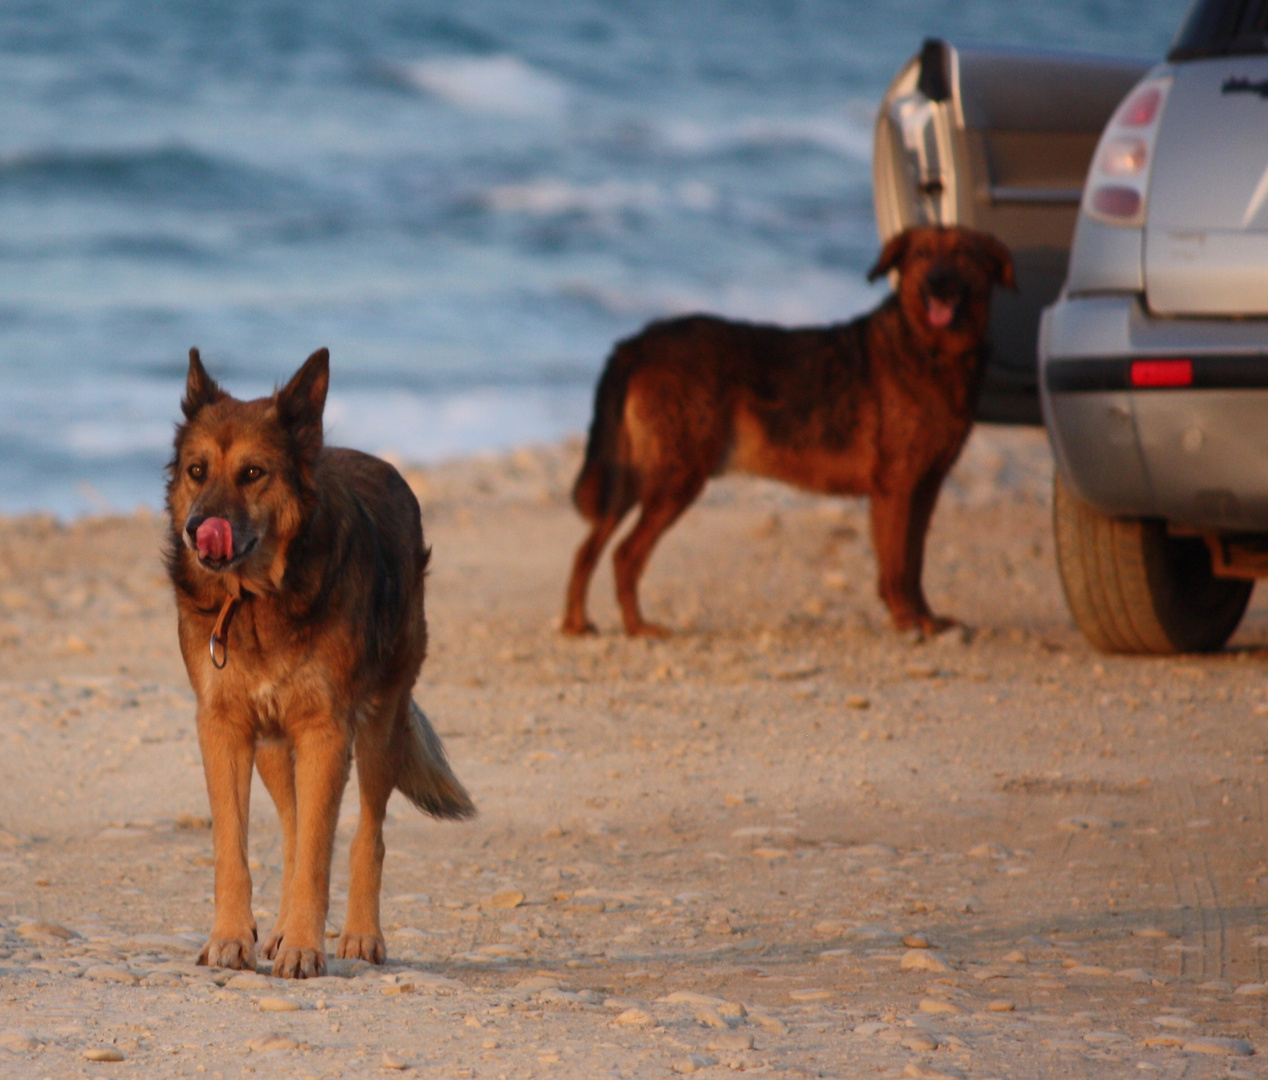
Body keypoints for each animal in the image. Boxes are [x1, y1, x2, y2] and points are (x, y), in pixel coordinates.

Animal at [163, 344, 471, 978]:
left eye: (253, 473)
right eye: (197, 471)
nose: (198, 531)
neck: (256, 601)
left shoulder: (326, 731)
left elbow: (319, 853)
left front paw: (306, 946)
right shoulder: (225, 729)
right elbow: (234, 847)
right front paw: (232, 937)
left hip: (378, 730)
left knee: (364, 834)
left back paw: (360, 936)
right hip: (274, 747)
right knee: (292, 825)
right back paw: (280, 927)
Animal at [562, 223, 1009, 636]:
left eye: (962, 253)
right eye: (920, 255)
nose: (937, 281)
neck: (930, 349)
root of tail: (637, 342)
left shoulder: (926, 486)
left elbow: (914, 562)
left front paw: (926, 620)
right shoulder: (896, 487)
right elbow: (897, 566)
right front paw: (906, 621)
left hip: (631, 481)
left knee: (586, 550)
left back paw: (577, 623)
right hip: (674, 480)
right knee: (624, 554)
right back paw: (637, 627)